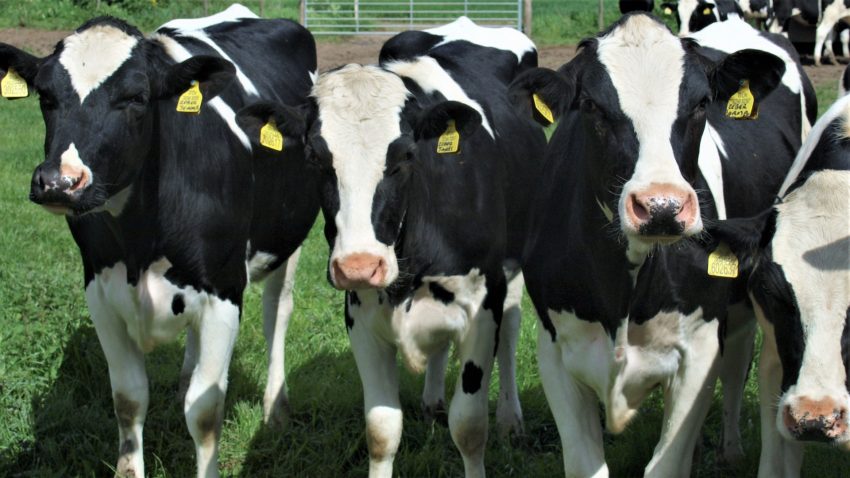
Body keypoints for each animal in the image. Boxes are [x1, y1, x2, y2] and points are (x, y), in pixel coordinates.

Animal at [0, 5, 320, 477]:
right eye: (46, 97)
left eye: (136, 98)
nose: (60, 183)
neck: (140, 239)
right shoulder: (100, 290)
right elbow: (128, 399)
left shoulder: (225, 290)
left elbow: (204, 412)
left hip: (287, 240)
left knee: (276, 314)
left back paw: (275, 410)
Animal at [236, 16, 545, 478]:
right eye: (315, 157)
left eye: (404, 156)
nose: (359, 266)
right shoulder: (361, 317)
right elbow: (382, 430)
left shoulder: (482, 306)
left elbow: (470, 426)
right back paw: (433, 401)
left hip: (514, 266)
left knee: (510, 329)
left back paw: (512, 419)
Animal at [507, 13, 814, 477]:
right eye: (591, 106)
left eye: (702, 103)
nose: (661, 207)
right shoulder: (555, 348)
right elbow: (585, 463)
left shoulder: (700, 345)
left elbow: (666, 463)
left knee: (739, 358)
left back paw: (730, 448)